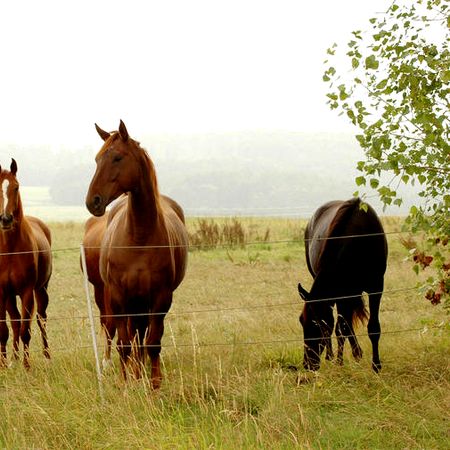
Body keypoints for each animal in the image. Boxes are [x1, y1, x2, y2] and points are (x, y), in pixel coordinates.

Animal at [84, 121, 188, 388]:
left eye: (117, 158)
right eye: (97, 159)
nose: (93, 201)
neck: (139, 236)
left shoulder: (161, 298)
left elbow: (152, 344)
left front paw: (154, 386)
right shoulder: (119, 296)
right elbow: (124, 344)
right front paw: (125, 385)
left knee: (142, 338)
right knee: (132, 337)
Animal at [298, 198, 388, 372]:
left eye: (318, 324)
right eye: (301, 321)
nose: (308, 363)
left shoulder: (376, 287)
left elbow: (373, 327)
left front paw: (376, 365)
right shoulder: (342, 291)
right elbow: (341, 327)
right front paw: (340, 361)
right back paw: (335, 355)